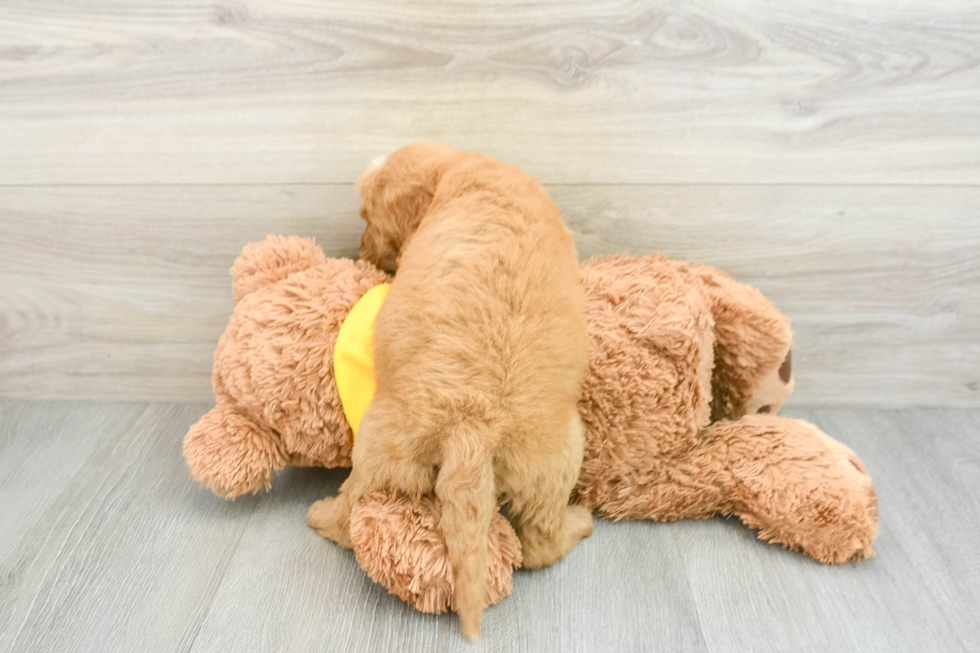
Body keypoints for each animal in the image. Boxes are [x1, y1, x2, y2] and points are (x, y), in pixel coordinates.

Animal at [310, 144, 592, 640]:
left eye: (368, 218)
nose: (362, 251)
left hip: (382, 451)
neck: (459, 166)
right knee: (541, 544)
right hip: (550, 465)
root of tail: (473, 428)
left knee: (351, 511)